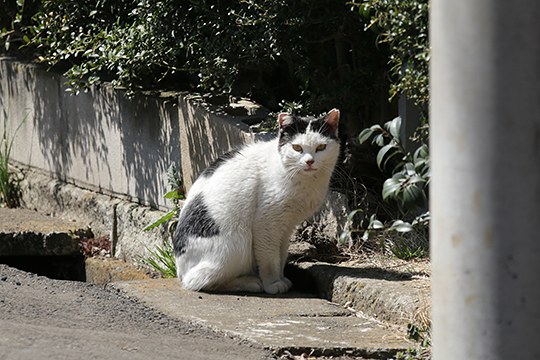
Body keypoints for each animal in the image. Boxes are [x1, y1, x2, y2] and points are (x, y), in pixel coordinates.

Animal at [173, 108, 340, 294]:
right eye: (297, 147)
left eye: (321, 147)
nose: (310, 161)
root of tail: (180, 270)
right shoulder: (266, 223)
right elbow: (269, 257)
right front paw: (273, 283)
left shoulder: (287, 226)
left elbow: (281, 255)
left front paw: (281, 278)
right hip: (239, 241)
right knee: (198, 281)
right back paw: (250, 282)